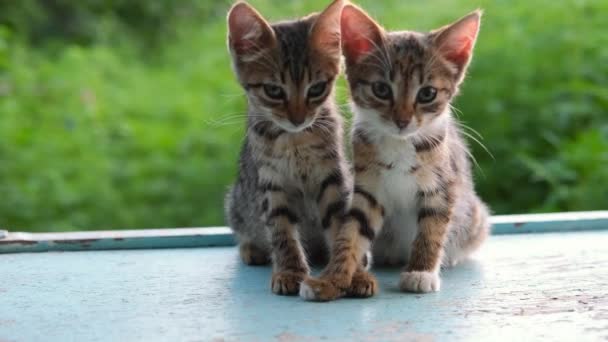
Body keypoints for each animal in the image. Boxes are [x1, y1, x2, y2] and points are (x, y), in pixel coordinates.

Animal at [224, 0, 352, 296]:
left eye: (316, 88)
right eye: (273, 90)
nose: (298, 118)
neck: (296, 140)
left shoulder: (332, 177)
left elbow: (341, 225)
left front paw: (354, 274)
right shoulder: (272, 182)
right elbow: (281, 231)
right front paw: (290, 272)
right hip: (235, 201)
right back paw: (251, 249)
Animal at [302, 4, 492, 300]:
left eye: (427, 94)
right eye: (381, 89)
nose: (402, 121)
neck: (400, 144)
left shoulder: (442, 185)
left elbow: (431, 230)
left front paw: (421, 272)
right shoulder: (368, 188)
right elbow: (351, 232)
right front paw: (331, 278)